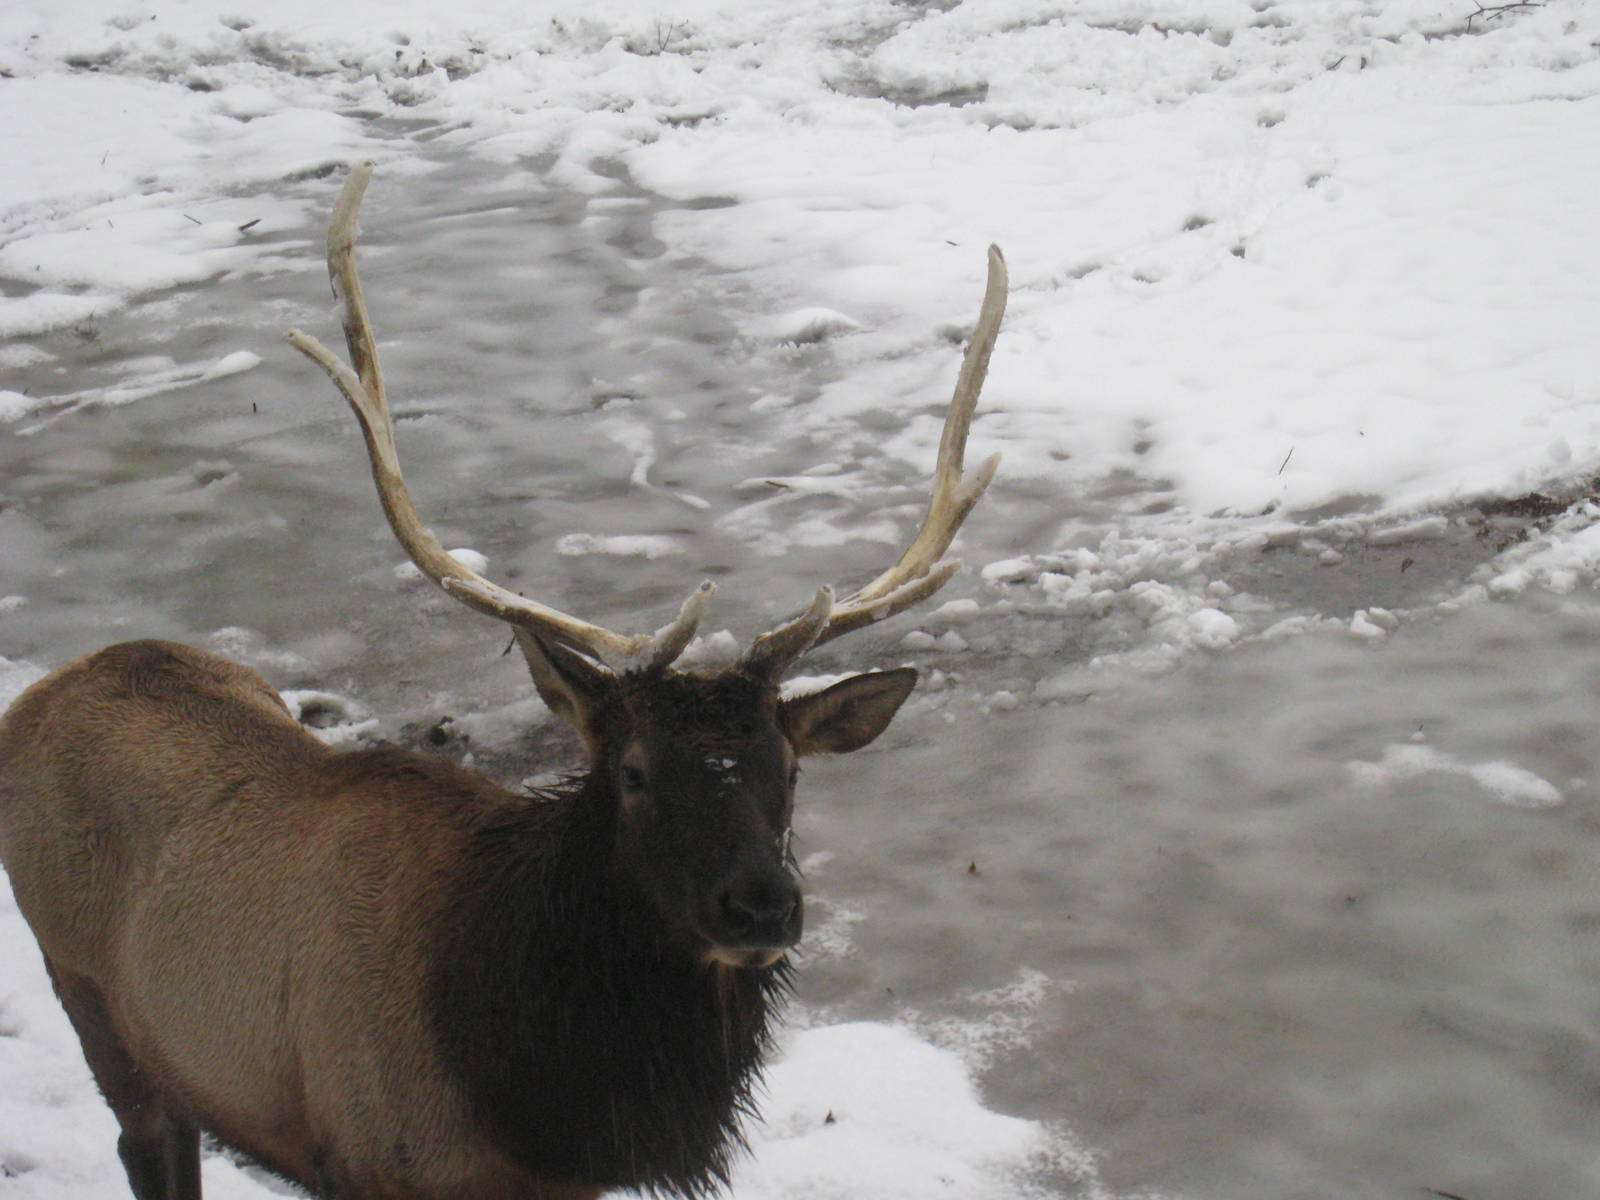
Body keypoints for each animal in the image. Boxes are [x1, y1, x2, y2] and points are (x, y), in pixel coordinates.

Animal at [0, 161, 1007, 1200]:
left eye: (791, 767)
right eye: (633, 772)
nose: (761, 904)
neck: (536, 1109)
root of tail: (47, 690)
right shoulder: (365, 1158)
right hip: (84, 988)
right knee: (147, 1138)